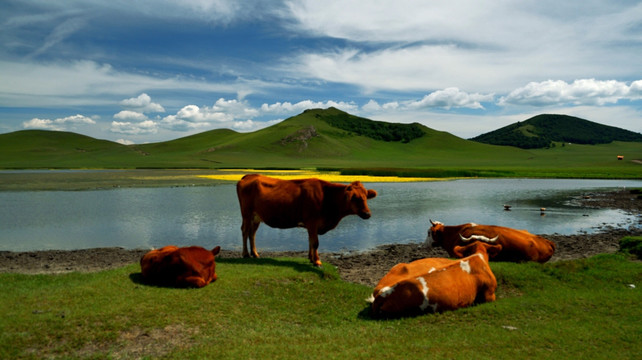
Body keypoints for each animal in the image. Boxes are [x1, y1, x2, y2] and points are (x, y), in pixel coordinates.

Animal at [235, 173, 376, 266]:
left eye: (366, 197)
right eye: (355, 198)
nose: (367, 213)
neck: (326, 197)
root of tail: (250, 175)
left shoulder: (311, 225)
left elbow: (311, 240)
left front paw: (311, 258)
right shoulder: (312, 222)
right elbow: (315, 242)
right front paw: (317, 261)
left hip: (256, 217)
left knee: (252, 233)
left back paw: (255, 254)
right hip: (246, 213)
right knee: (245, 231)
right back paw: (245, 254)